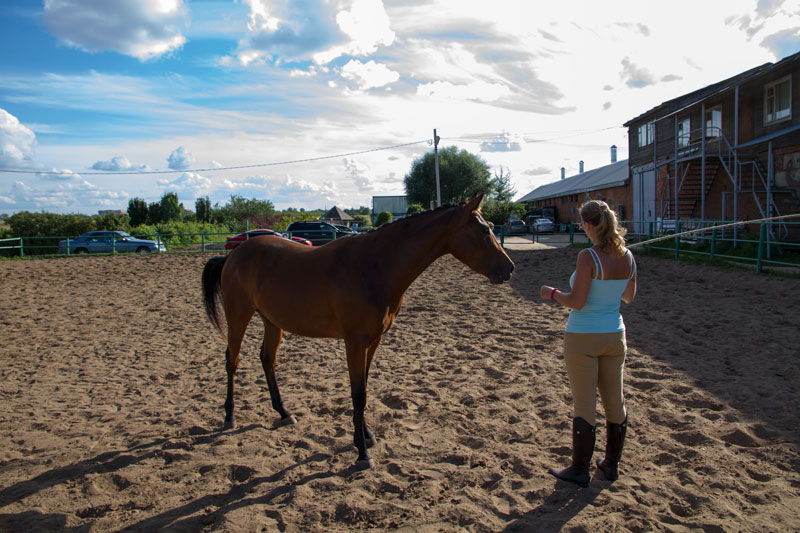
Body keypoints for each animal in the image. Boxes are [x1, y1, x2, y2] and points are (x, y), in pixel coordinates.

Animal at [201, 193, 514, 469]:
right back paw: (229, 416)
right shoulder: (355, 342)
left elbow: (363, 387)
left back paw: (283, 412)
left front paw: (365, 436)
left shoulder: (373, 341)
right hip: (238, 316)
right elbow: (358, 394)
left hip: (271, 321)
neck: (374, 265)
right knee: (232, 360)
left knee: (267, 359)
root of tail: (233, 256)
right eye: (484, 230)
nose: (509, 268)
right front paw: (362, 454)